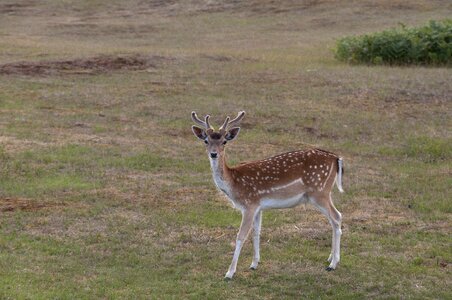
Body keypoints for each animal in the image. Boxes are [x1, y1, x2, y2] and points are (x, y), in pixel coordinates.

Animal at [190, 110, 342, 278]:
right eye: (206, 141)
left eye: (224, 141)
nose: (213, 154)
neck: (234, 183)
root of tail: (336, 158)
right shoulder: (258, 207)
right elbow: (256, 232)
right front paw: (254, 264)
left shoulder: (249, 204)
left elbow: (241, 236)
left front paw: (229, 273)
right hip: (322, 193)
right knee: (334, 219)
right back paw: (330, 258)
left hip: (319, 192)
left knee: (336, 217)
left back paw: (333, 264)